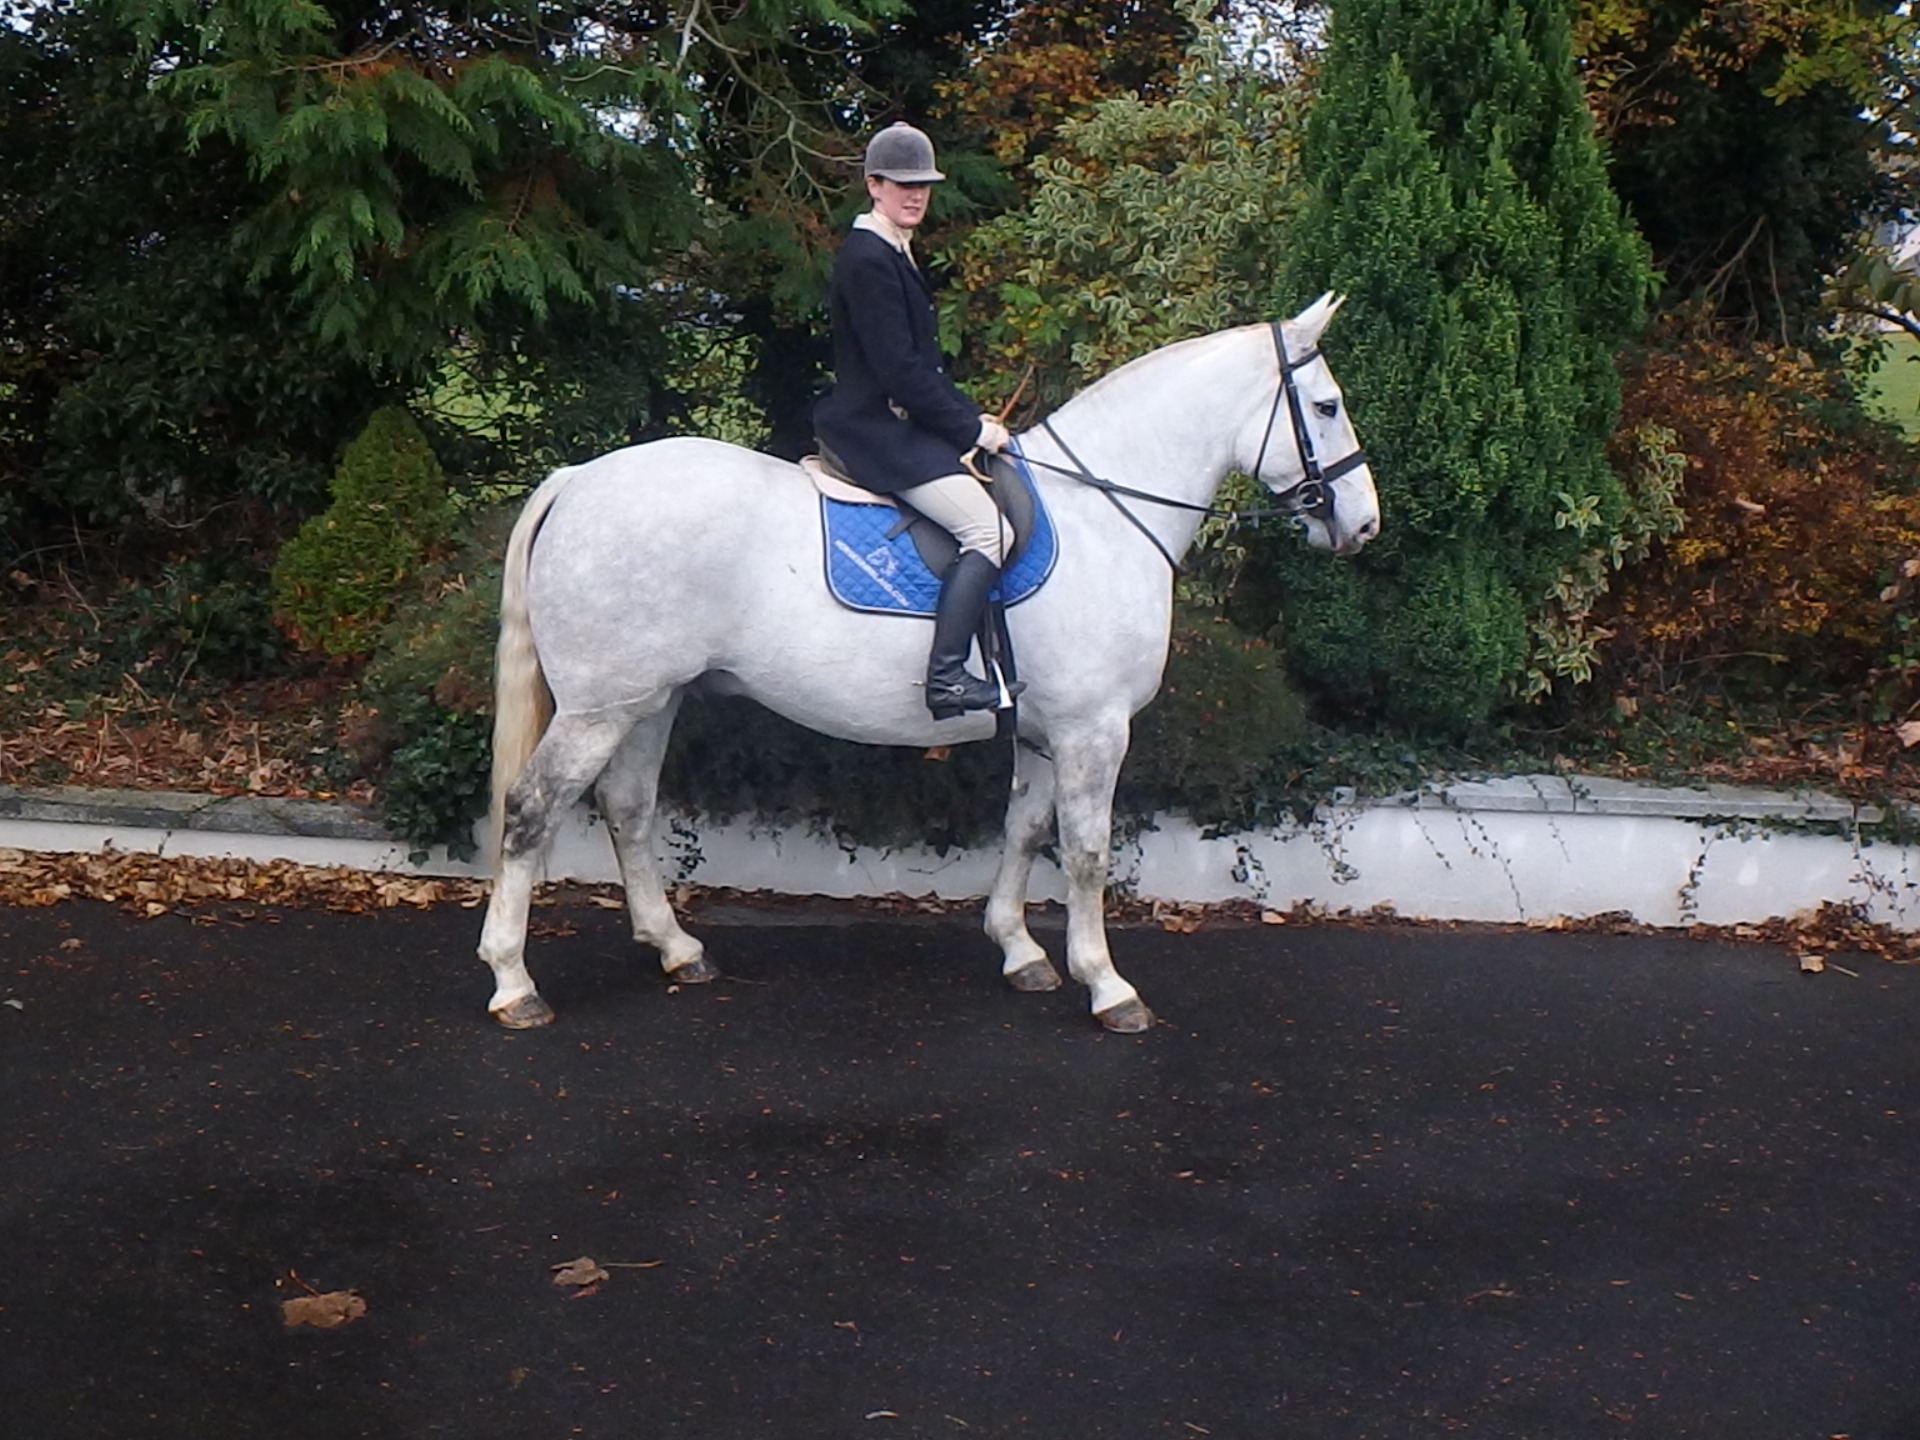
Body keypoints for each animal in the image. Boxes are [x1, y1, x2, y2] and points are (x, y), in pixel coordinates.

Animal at [477, 293, 1380, 1033]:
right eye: (1327, 405)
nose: (1363, 525)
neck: (1101, 515)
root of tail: (577, 480)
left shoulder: (1048, 730)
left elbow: (1024, 828)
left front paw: (1021, 953)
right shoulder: (1094, 731)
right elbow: (1087, 851)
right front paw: (1107, 986)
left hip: (647, 699)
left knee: (627, 807)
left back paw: (676, 948)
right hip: (598, 708)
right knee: (530, 811)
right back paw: (514, 983)